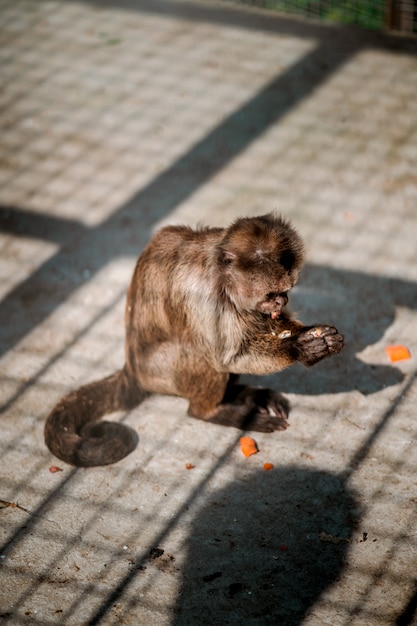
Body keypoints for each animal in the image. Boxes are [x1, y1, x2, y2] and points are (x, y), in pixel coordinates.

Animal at [44, 213, 344, 464]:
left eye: (286, 291)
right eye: (272, 294)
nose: (283, 301)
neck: (221, 274)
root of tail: (132, 371)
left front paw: (314, 335)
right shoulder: (202, 292)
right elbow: (224, 358)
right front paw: (299, 348)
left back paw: (244, 396)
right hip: (159, 374)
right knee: (201, 354)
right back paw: (209, 411)